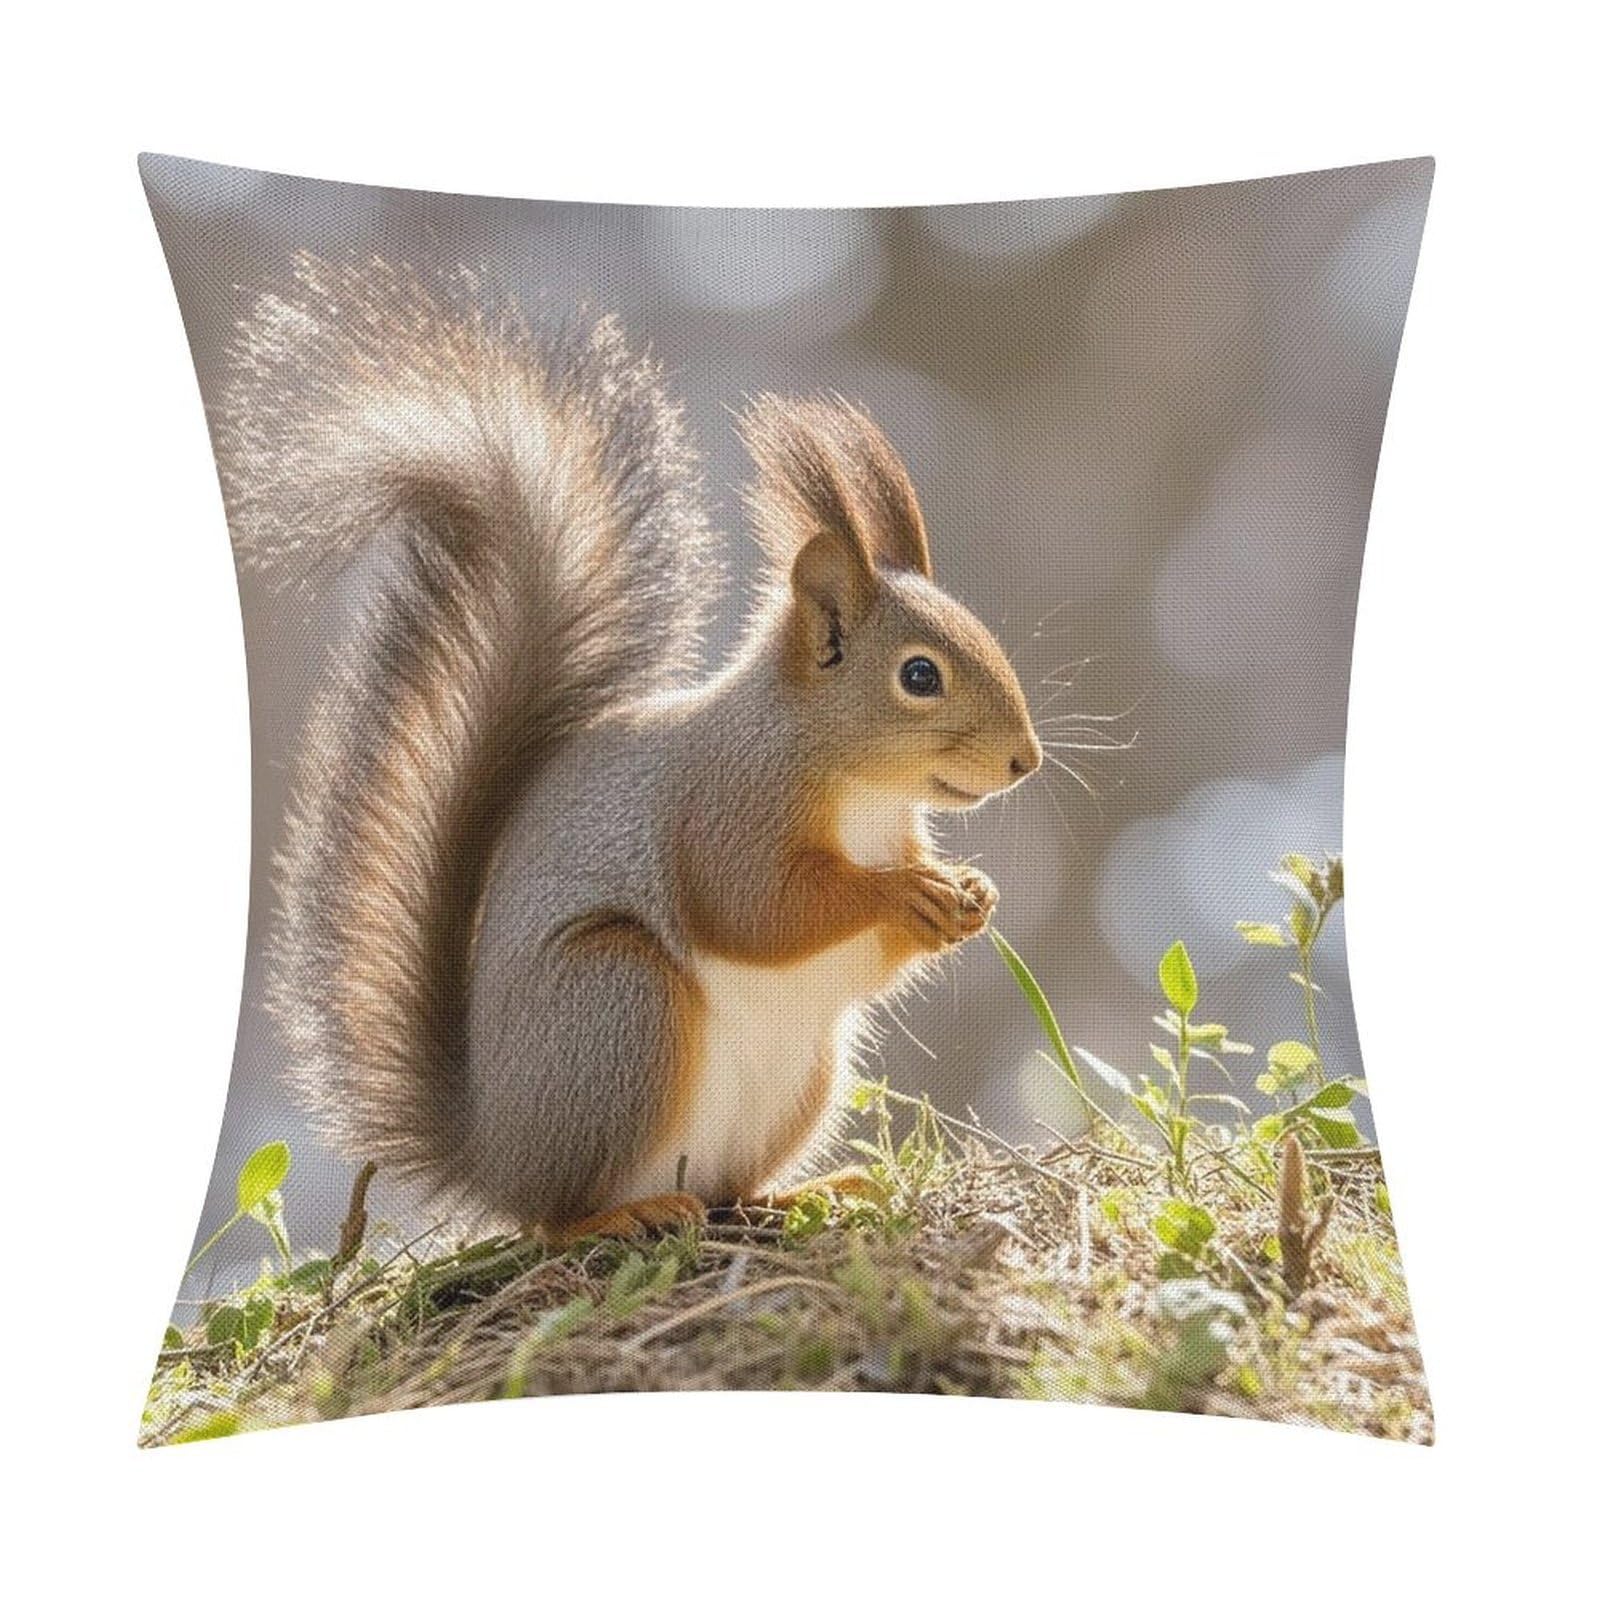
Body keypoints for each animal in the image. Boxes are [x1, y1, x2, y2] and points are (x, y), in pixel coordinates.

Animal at [219, 255, 1042, 1243]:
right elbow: (755, 907)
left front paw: (970, 894)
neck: (858, 789)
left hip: (802, 1072)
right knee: (555, 1215)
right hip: (618, 1002)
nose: (1026, 761)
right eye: (920, 676)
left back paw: (800, 1191)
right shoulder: (726, 804)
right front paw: (901, 893)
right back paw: (619, 1216)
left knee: (733, 1188)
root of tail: (495, 1151)